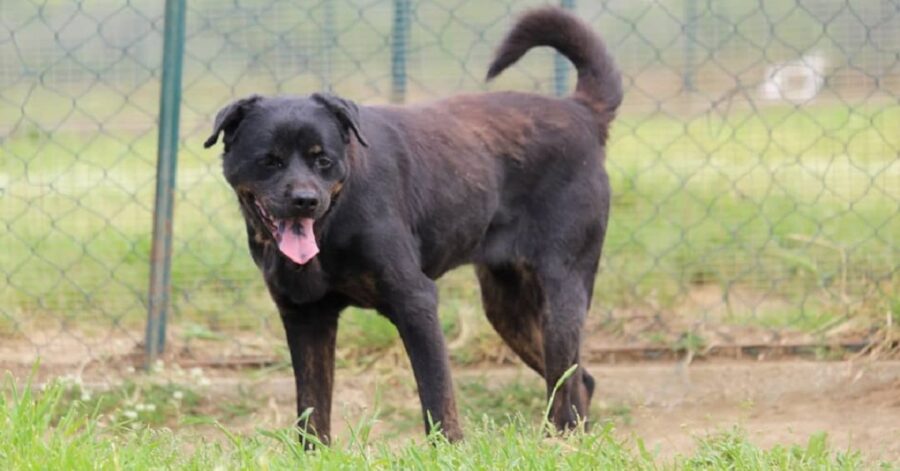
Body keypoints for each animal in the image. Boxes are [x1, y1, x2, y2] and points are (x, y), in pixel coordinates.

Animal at [205, 5, 624, 444]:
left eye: (322, 160)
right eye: (270, 161)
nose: (306, 200)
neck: (333, 222)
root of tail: (581, 112)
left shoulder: (415, 301)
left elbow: (438, 399)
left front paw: (449, 449)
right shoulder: (306, 316)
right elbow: (312, 413)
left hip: (562, 291)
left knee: (566, 386)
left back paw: (561, 442)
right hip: (507, 308)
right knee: (580, 381)